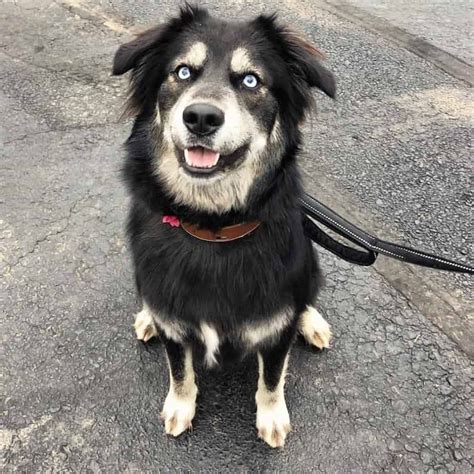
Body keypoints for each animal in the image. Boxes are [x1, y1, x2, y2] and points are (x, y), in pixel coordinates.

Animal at [113, 3, 336, 448]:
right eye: (182, 72)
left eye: (251, 81)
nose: (200, 117)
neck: (212, 226)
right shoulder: (175, 321)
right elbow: (180, 369)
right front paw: (180, 406)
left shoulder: (276, 327)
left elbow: (272, 377)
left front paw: (272, 417)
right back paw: (146, 317)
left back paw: (312, 322)